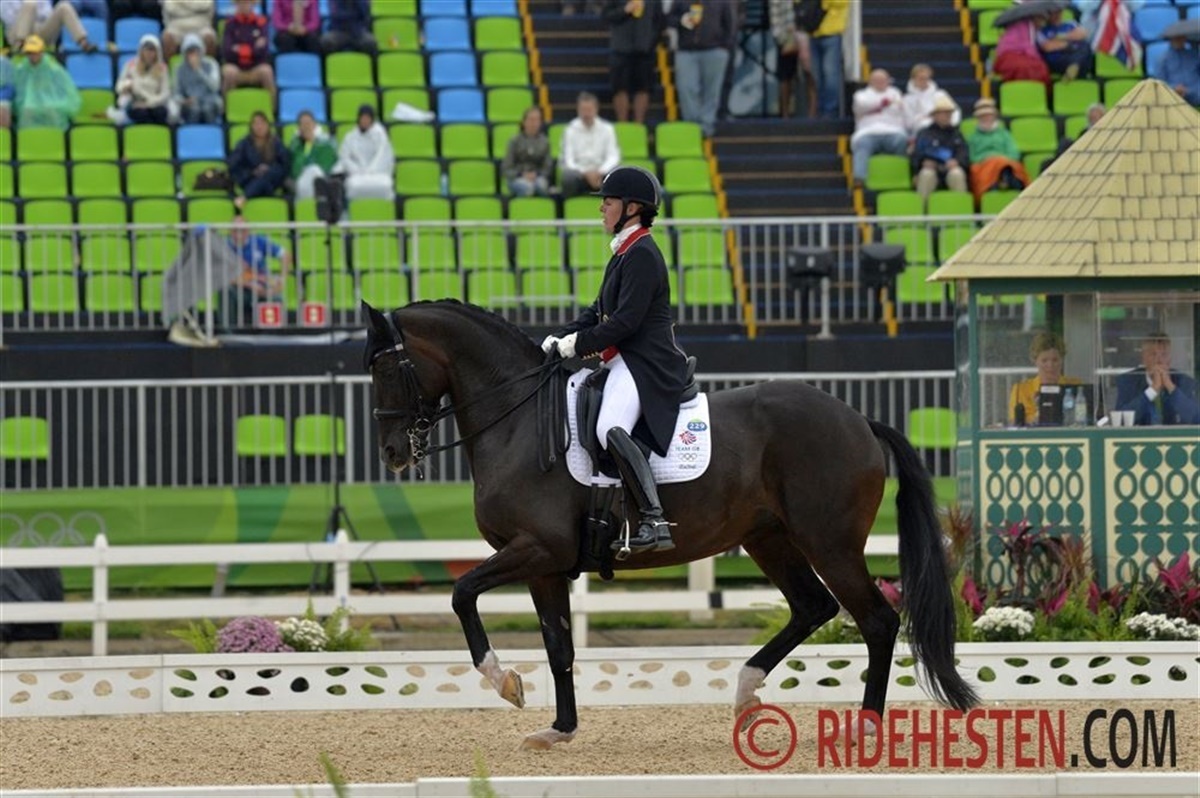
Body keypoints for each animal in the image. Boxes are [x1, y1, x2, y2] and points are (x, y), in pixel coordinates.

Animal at [362, 299, 978, 750]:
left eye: (387, 368)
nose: (391, 453)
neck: (517, 420)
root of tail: (858, 419)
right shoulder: (546, 567)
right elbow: (559, 647)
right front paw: (559, 729)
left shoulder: (535, 549)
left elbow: (462, 592)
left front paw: (504, 680)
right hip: (769, 539)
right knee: (813, 607)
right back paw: (747, 692)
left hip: (830, 543)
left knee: (876, 620)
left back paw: (864, 726)